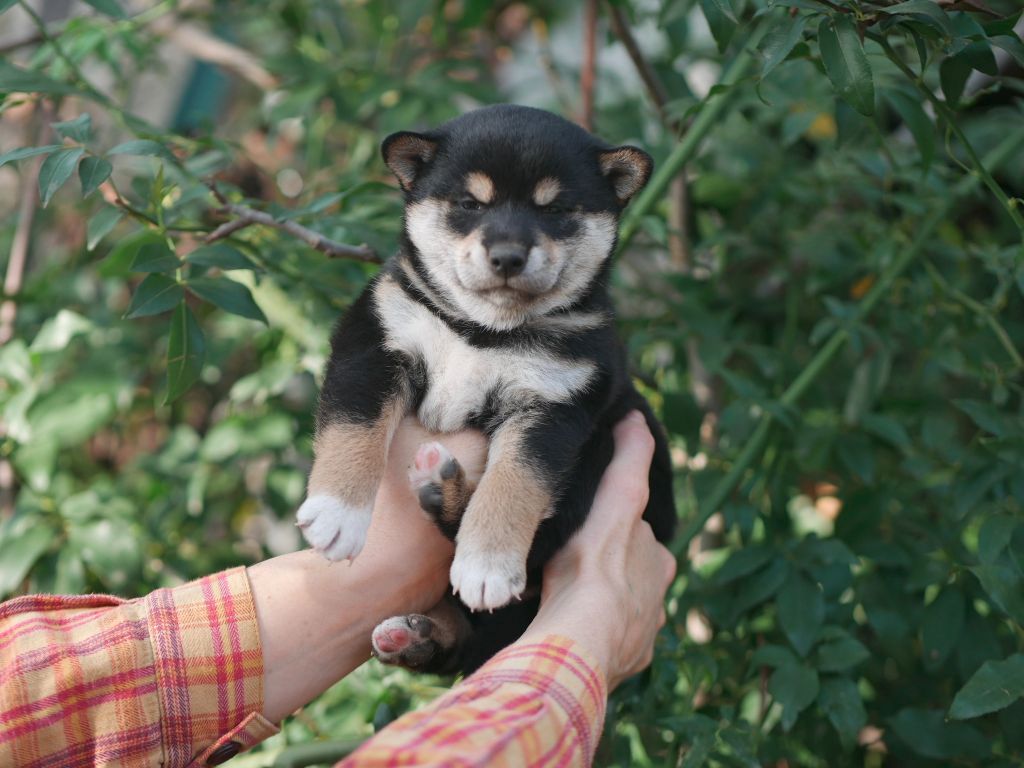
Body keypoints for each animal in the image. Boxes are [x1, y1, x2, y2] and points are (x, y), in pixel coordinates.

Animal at [296, 103, 675, 671]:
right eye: (470, 204)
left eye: (556, 209)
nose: (508, 256)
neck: (484, 331)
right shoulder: (375, 341)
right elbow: (355, 427)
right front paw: (338, 512)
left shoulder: (556, 405)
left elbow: (515, 482)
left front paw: (488, 563)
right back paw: (418, 635)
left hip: (603, 447)